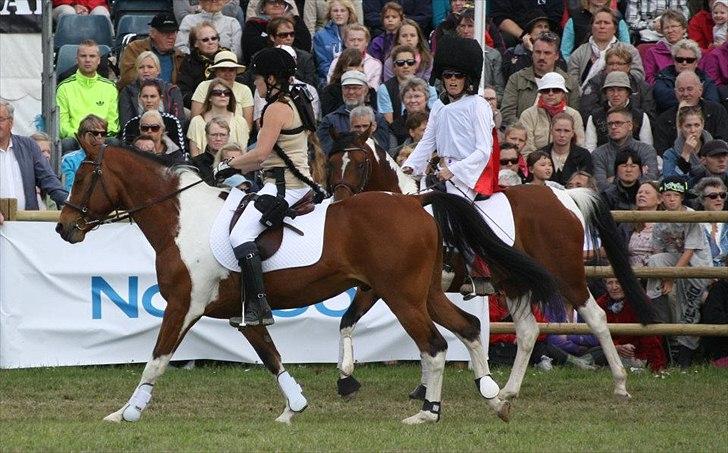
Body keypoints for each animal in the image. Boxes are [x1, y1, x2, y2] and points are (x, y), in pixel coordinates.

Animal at [57, 138, 560, 424]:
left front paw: (127, 412)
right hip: (426, 292)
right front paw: (294, 406)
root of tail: (414, 202)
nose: (64, 229)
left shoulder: (185, 304)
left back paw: (427, 414)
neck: (183, 219)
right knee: (469, 328)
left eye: (83, 177)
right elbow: (270, 355)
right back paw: (495, 398)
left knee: (435, 346)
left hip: (401, 296)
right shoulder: (243, 310)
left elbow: (157, 360)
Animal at [324, 132, 656, 400]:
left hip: (566, 275)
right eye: (331, 163)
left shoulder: (386, 286)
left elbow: (364, 324)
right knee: (528, 332)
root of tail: (565, 197)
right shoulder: (385, 286)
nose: (337, 201)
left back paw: (620, 384)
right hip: (515, 283)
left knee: (596, 318)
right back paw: (508, 390)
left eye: (359, 164)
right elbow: (351, 323)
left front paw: (349, 375)